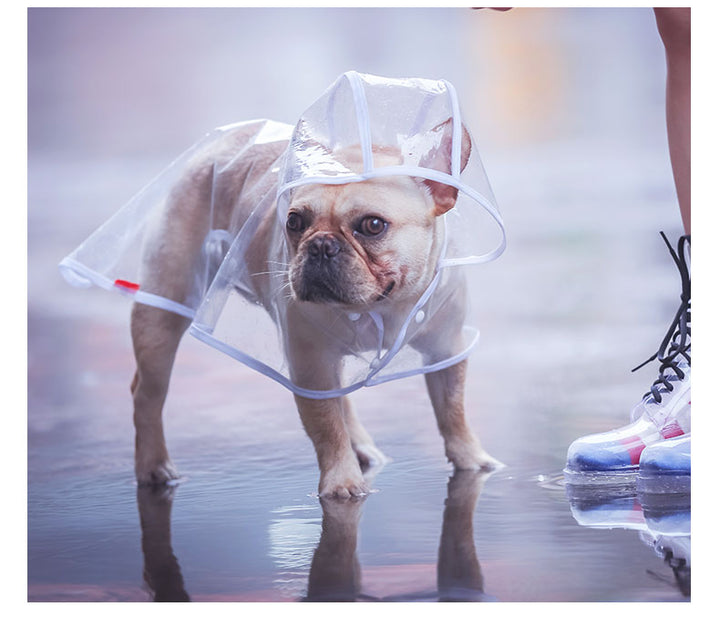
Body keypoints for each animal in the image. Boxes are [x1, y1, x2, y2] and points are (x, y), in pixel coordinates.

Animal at [131, 119, 500, 496]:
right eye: (294, 221)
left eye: (373, 225)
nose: (321, 244)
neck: (383, 305)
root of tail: (220, 144)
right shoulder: (312, 366)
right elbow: (326, 425)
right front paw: (342, 481)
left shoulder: (446, 350)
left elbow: (452, 410)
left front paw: (472, 458)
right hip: (163, 315)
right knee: (147, 394)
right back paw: (154, 465)